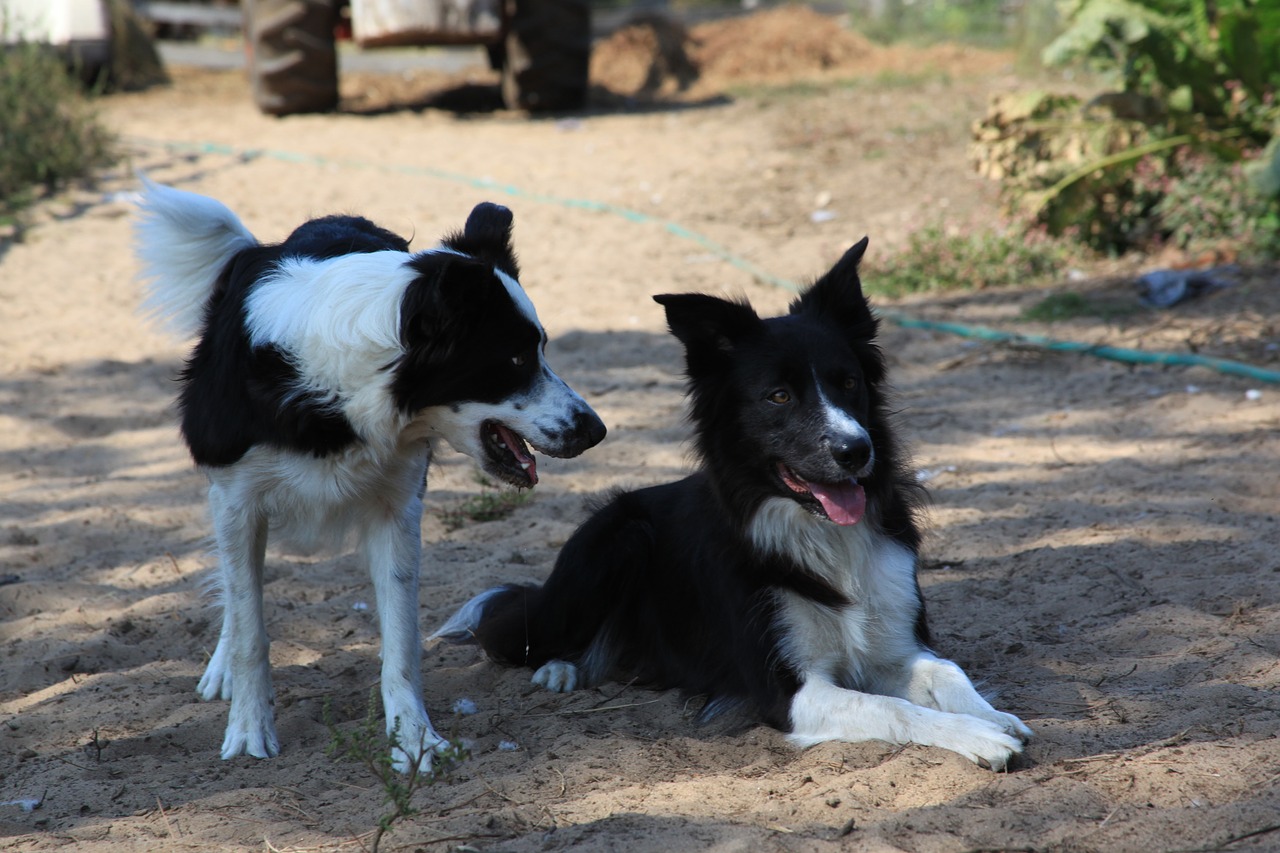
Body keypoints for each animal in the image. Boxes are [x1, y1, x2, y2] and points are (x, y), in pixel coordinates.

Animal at [135, 183, 604, 773]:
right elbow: (249, 629)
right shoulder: (237, 498)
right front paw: (248, 729)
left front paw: (415, 739)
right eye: (516, 359)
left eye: (541, 348)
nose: (596, 430)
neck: (340, 382)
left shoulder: (396, 507)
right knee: (237, 592)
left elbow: (401, 641)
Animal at [437, 236, 1029, 763]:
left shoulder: (896, 645)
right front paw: (978, 737)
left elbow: (946, 671)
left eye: (849, 383)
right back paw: (559, 667)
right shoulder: (787, 689)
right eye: (779, 396)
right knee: (509, 631)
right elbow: (890, 709)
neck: (818, 533)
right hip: (613, 543)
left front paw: (994, 716)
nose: (856, 450)